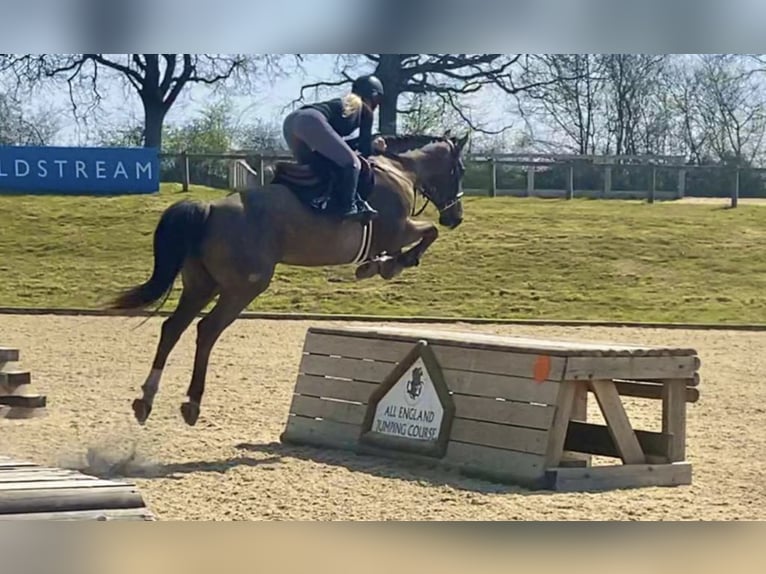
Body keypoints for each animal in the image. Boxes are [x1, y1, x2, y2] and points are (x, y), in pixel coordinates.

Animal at [106, 130, 468, 428]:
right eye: (459, 170)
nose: (455, 217)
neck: (400, 170)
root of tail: (209, 209)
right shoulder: (398, 230)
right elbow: (427, 234)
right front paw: (394, 265)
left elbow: (414, 241)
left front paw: (376, 266)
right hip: (244, 287)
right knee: (207, 330)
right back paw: (192, 402)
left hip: (202, 286)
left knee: (173, 328)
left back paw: (145, 400)